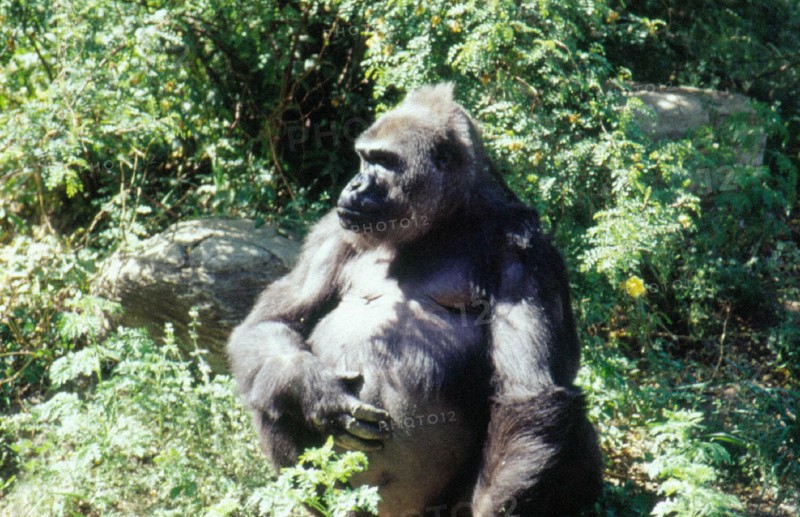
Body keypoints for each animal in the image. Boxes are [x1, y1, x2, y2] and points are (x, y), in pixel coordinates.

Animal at [227, 83, 602, 516]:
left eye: (386, 162)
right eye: (364, 157)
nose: (354, 185)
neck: (447, 217)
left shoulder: (525, 250)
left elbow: (526, 390)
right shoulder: (331, 233)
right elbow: (273, 324)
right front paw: (315, 391)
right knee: (270, 386)